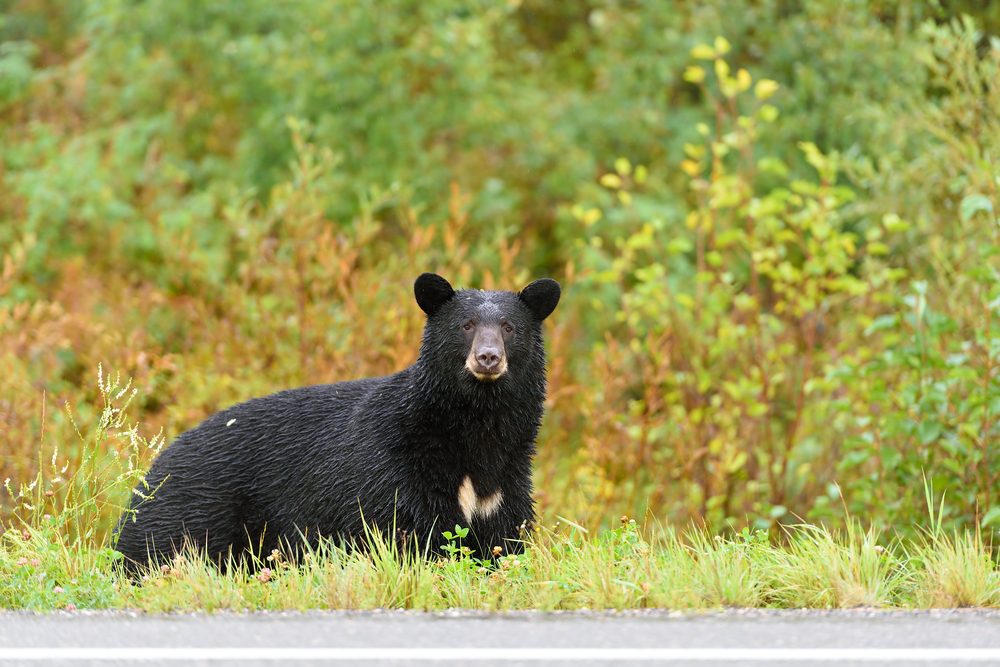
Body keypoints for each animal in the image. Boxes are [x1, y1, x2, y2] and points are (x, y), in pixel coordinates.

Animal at [115, 272, 564, 576]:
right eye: (465, 326)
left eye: (509, 327)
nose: (488, 357)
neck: (476, 433)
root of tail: (149, 473)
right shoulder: (395, 471)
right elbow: (412, 535)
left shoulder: (507, 482)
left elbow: (504, 540)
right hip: (189, 514)